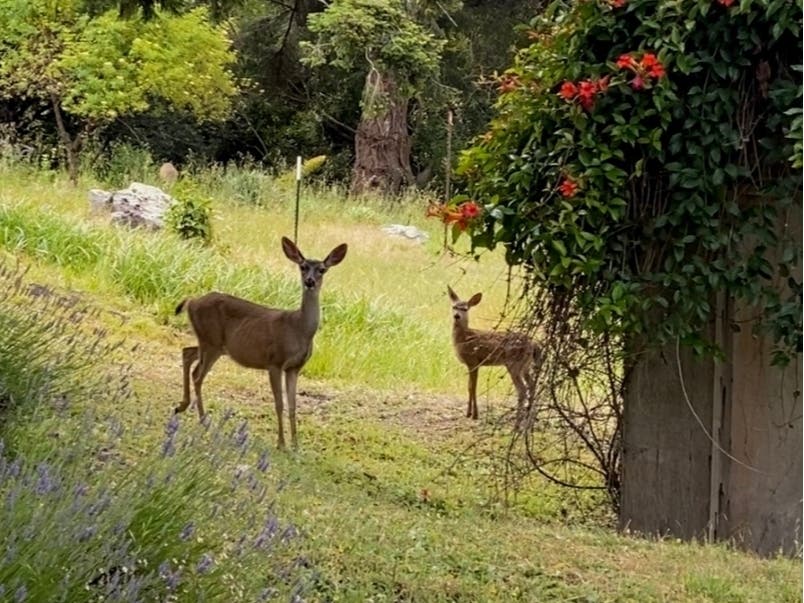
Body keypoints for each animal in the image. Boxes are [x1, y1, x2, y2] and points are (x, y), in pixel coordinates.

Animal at [174, 236, 348, 449]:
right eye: (303, 266)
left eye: (322, 269)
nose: (309, 281)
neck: (300, 329)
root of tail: (192, 301)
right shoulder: (275, 362)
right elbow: (279, 404)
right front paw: (281, 443)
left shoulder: (294, 368)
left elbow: (293, 405)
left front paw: (296, 445)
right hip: (211, 341)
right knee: (198, 375)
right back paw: (203, 420)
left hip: (211, 343)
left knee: (187, 353)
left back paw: (182, 406)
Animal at [447, 286, 541, 421]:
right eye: (454, 307)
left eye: (465, 309)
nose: (456, 316)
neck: (463, 338)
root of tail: (533, 345)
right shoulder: (472, 364)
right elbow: (469, 387)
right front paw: (469, 413)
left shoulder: (473, 361)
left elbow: (472, 387)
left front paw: (474, 414)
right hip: (525, 366)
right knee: (532, 385)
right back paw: (529, 416)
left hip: (514, 364)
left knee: (522, 389)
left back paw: (518, 419)